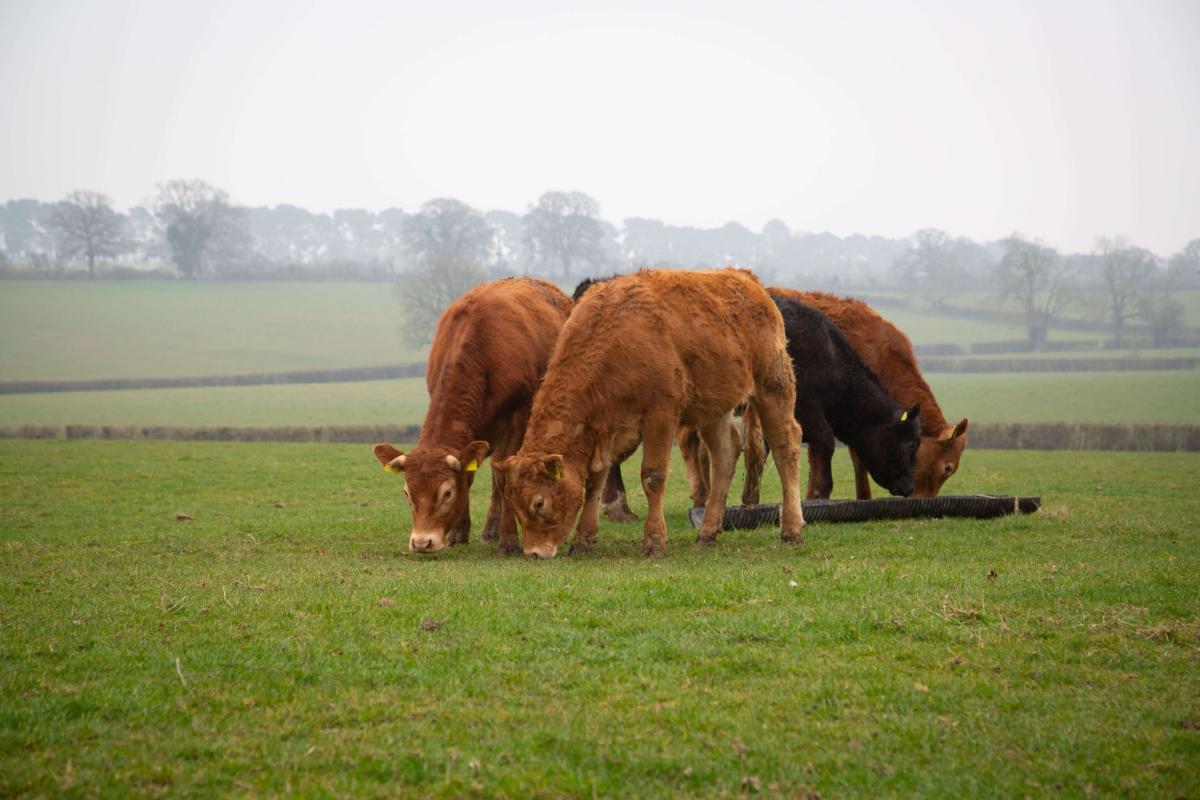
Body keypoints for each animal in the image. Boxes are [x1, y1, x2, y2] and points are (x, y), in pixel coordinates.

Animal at [372, 277, 573, 554]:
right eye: (407, 493)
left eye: (447, 493)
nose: (422, 542)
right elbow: (470, 473)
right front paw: (459, 532)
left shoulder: (517, 417)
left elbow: (504, 477)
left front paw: (508, 540)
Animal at [495, 268, 805, 559]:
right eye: (513, 503)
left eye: (539, 503)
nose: (534, 552)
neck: (615, 338)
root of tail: (746, 280)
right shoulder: (607, 429)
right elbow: (596, 482)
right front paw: (583, 540)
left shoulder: (661, 415)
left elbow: (652, 477)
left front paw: (654, 541)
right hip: (713, 407)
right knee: (725, 452)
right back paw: (707, 531)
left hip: (773, 386)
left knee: (785, 446)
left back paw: (791, 530)